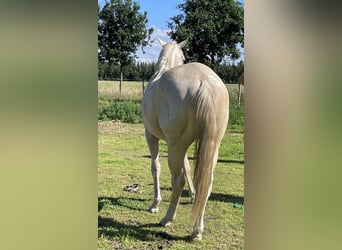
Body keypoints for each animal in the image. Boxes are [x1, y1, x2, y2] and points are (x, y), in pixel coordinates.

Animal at [142, 39, 230, 240]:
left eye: (182, 57)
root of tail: (205, 82)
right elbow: (189, 168)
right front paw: (193, 196)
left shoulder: (152, 136)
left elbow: (155, 168)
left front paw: (155, 204)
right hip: (210, 146)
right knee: (207, 184)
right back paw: (197, 230)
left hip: (175, 146)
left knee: (177, 180)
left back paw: (167, 218)